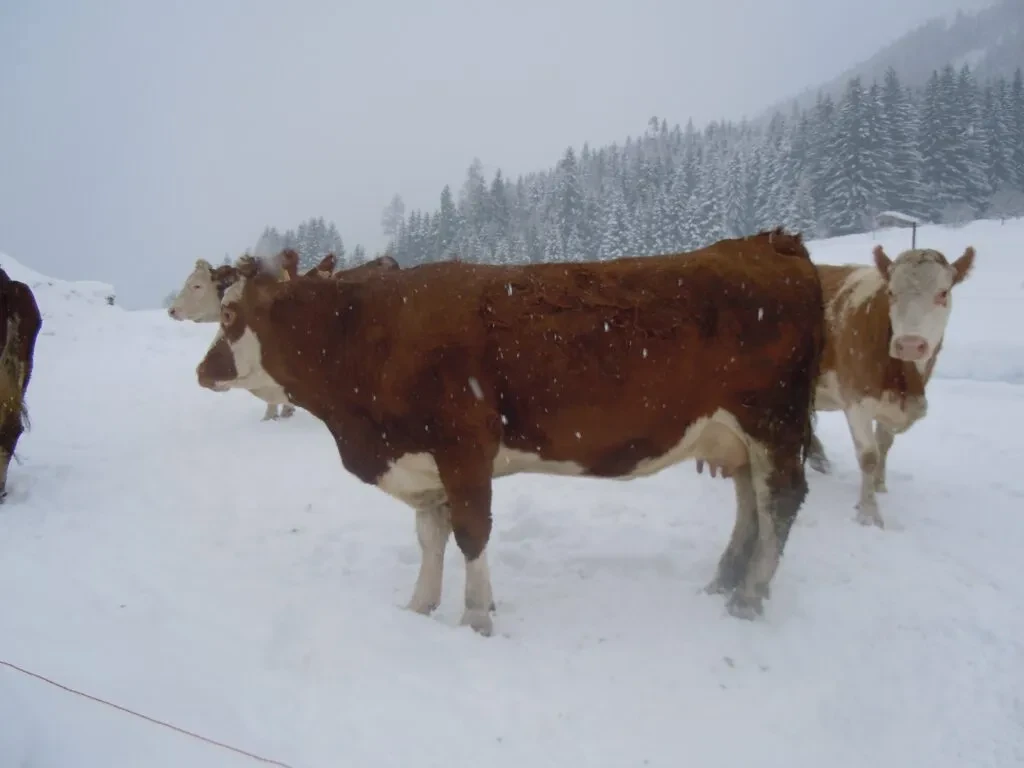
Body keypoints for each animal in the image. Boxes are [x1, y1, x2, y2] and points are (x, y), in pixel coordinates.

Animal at [195, 230, 827, 638]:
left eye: (228, 314)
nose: (203, 370)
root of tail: (767, 242)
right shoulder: (422, 461)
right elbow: (430, 537)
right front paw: (419, 606)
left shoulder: (465, 447)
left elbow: (472, 533)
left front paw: (476, 617)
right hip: (737, 436)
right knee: (750, 503)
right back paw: (725, 582)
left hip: (772, 421)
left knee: (780, 500)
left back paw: (749, 598)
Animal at [806, 244, 974, 528]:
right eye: (892, 293)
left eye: (943, 293)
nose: (909, 345)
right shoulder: (857, 401)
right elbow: (868, 455)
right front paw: (868, 513)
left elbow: (884, 444)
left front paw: (879, 485)